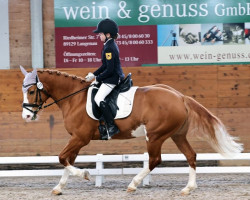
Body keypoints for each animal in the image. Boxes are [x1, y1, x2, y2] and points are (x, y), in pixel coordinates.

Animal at [20, 66, 243, 195]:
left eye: (31, 91)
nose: (26, 117)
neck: (74, 98)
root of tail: (180, 97)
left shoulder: (80, 138)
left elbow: (62, 158)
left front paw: (84, 174)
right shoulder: (76, 139)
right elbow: (67, 160)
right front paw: (59, 187)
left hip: (155, 136)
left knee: (155, 160)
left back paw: (133, 184)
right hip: (176, 134)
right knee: (191, 155)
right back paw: (188, 188)